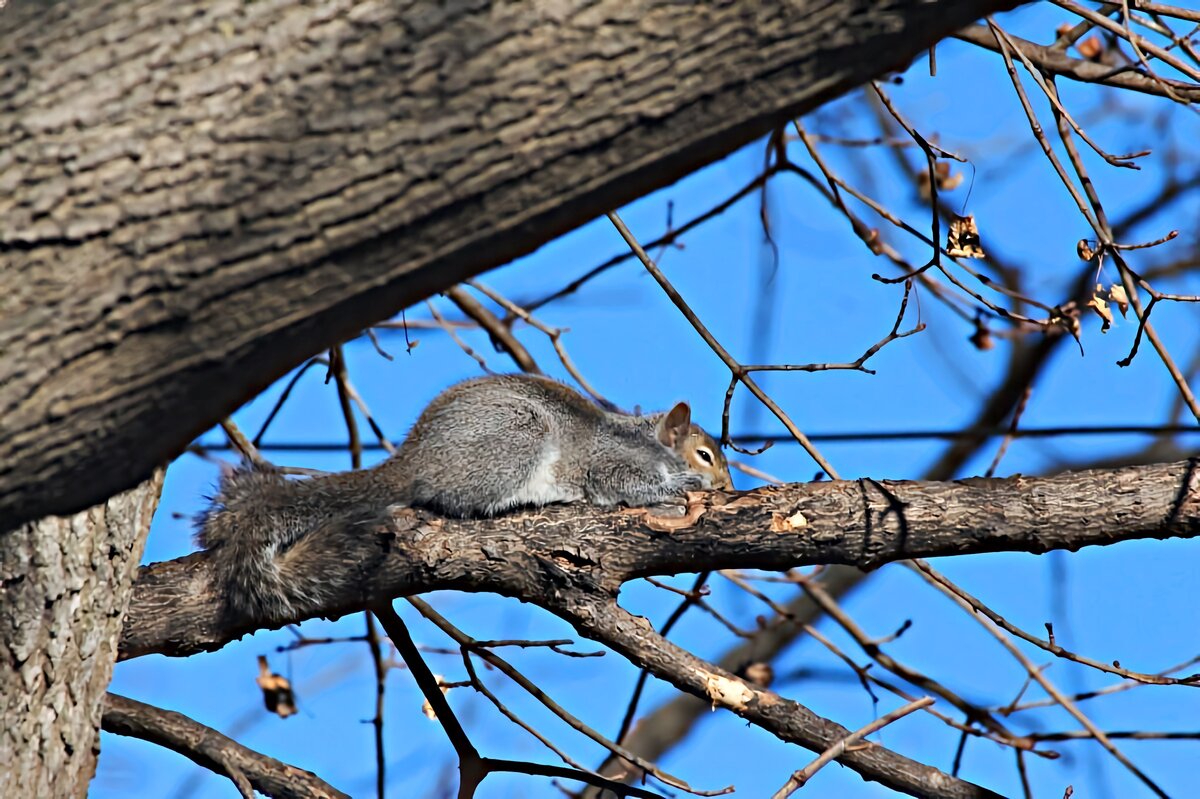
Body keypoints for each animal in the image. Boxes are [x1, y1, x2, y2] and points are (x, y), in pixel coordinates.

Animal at [196, 371, 729, 614]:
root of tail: (415, 462)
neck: (645, 441)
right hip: (515, 442)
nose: (728, 486)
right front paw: (677, 487)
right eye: (705, 454)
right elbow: (625, 485)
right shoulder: (609, 464)